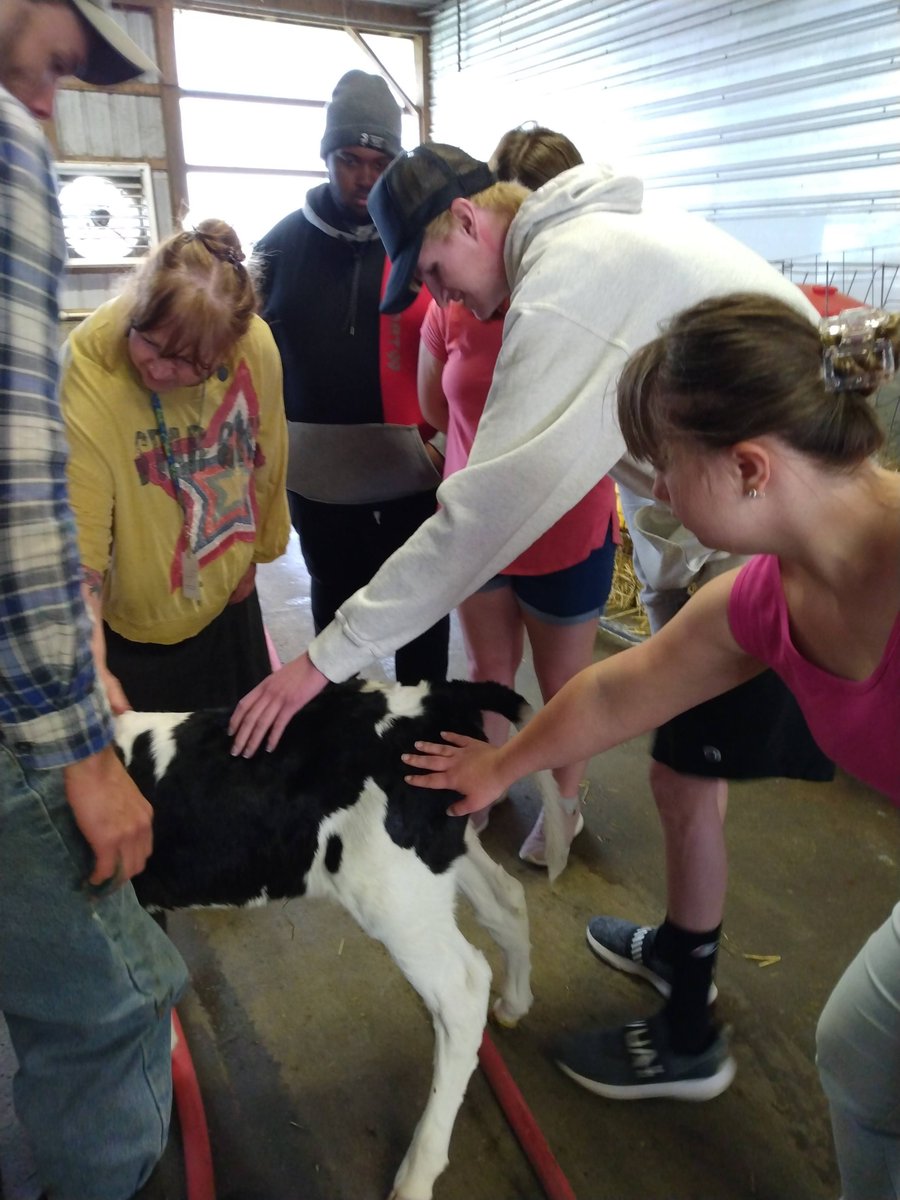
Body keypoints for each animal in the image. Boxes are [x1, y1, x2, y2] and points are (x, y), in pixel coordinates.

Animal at [115, 676, 532, 1200]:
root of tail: (439, 696)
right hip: (441, 854)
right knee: (506, 900)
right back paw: (515, 1003)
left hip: (394, 894)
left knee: (463, 990)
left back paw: (417, 1174)